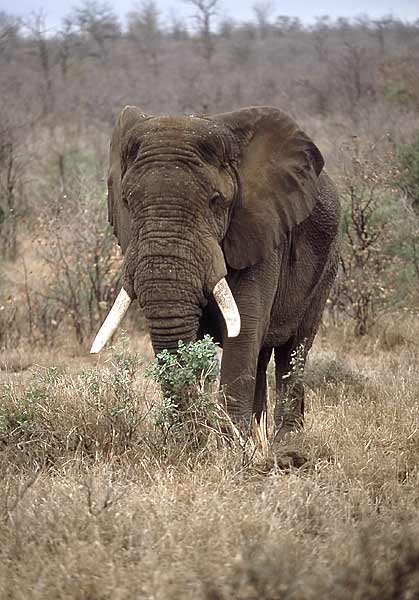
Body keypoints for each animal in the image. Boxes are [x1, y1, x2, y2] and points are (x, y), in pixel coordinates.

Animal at [92, 105, 342, 436]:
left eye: (216, 202)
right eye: (126, 202)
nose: (191, 432)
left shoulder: (261, 230)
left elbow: (244, 327)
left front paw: (230, 443)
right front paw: (197, 438)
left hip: (328, 264)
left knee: (293, 350)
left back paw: (285, 439)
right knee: (262, 354)